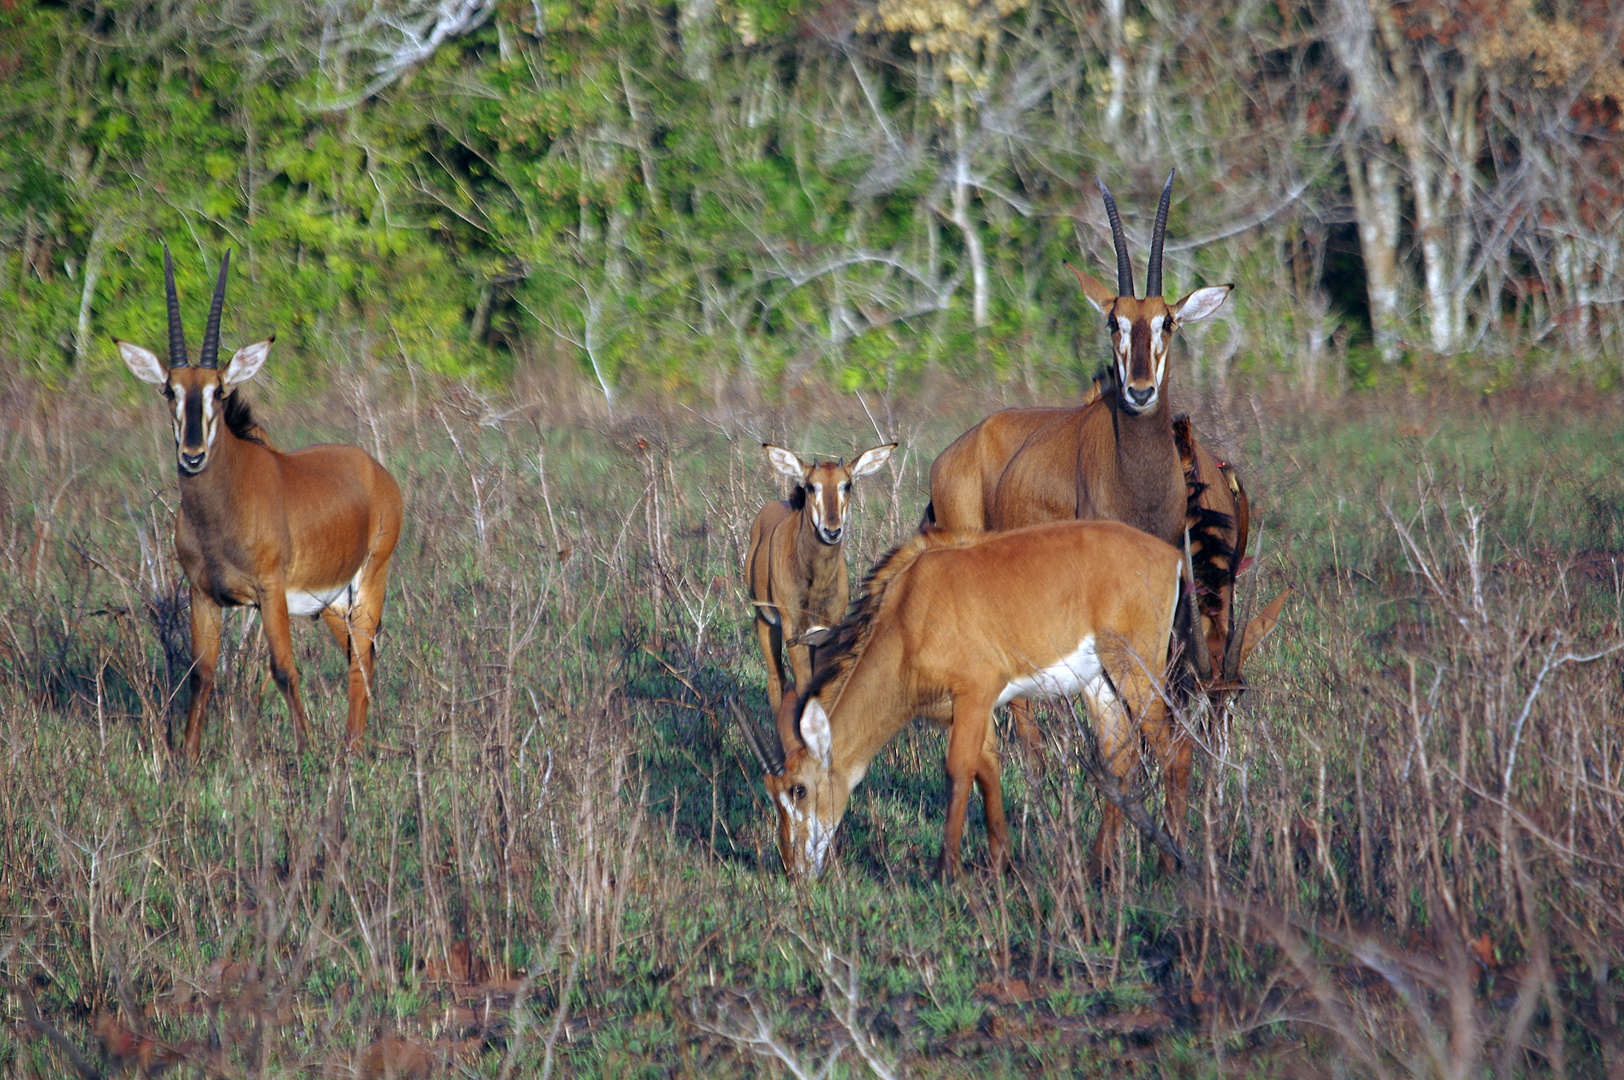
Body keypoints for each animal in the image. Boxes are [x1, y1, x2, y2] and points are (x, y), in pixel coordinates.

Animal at [115, 250, 402, 763]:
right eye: (170, 389)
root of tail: (376, 472)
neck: (223, 509)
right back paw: (352, 745)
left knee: (361, 662)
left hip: (371, 580)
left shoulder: (269, 593)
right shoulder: (203, 595)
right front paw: (187, 759)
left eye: (219, 390)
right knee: (359, 655)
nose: (192, 456)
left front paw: (306, 753)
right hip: (332, 604)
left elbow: (284, 669)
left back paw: (349, 750)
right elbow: (202, 675)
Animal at [737, 519, 1195, 883]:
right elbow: (987, 771)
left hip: (1136, 668)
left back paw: (1170, 864)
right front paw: (1001, 864)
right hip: (1099, 681)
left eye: (798, 790)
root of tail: (1171, 556)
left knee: (1176, 750)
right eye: (771, 790)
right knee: (1119, 757)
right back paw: (1099, 866)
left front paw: (946, 871)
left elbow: (958, 772)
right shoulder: (967, 709)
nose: (792, 869)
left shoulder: (975, 691)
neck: (907, 614)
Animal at [743, 441, 896, 721]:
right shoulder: (794, 632)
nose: (831, 531)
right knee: (776, 680)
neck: (816, 582)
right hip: (765, 622)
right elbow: (804, 688)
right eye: (811, 485)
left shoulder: (828, 632)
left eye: (847, 484)